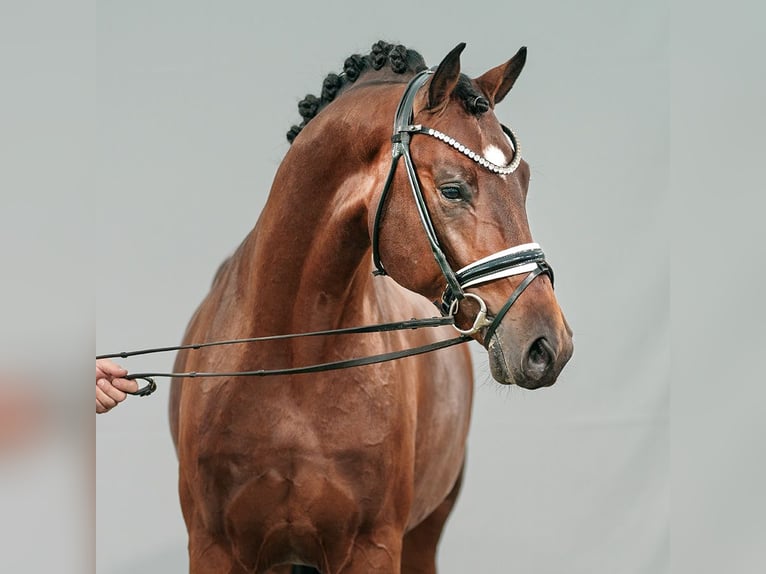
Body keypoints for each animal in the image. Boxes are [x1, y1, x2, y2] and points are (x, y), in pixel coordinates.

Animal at [171, 41, 572, 574]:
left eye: (523, 181)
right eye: (452, 188)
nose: (548, 343)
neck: (290, 364)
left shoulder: (375, 547)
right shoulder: (212, 546)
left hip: (424, 532)